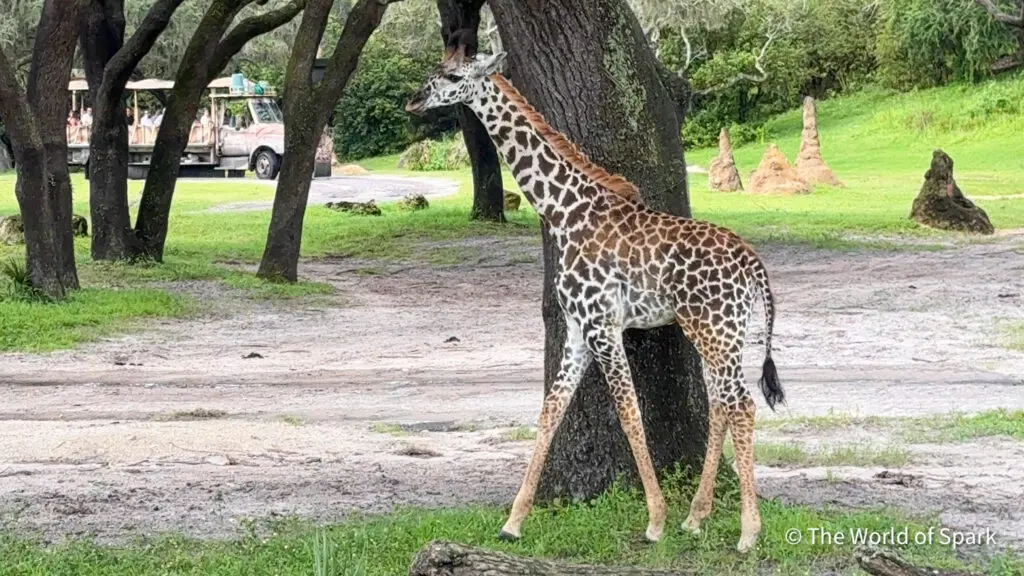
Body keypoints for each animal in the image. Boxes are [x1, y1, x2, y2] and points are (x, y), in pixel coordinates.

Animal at [405, 44, 784, 553]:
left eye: (450, 76)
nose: (413, 101)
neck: (563, 212)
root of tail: (754, 265)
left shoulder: (603, 325)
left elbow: (629, 414)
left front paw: (655, 521)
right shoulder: (577, 330)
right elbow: (550, 410)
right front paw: (513, 522)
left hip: (714, 327)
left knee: (740, 404)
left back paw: (747, 531)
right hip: (720, 331)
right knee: (721, 404)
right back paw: (697, 517)